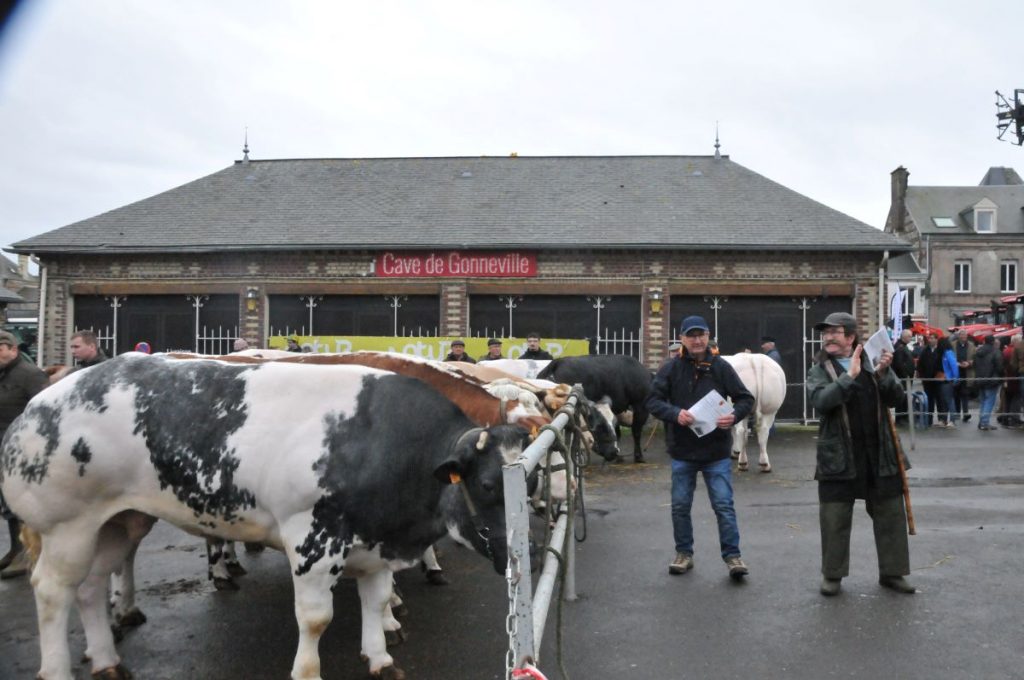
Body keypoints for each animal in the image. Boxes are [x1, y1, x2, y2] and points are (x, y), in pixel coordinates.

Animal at [0, 352, 528, 680]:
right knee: (53, 592)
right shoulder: (312, 538)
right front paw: (307, 671)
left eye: (532, 476)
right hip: (65, 526)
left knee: (90, 587)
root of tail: (41, 402)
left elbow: (376, 600)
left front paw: (379, 658)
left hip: (117, 521)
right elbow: (315, 618)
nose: (519, 558)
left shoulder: (376, 539)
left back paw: (107, 659)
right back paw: (57, 667)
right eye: (487, 485)